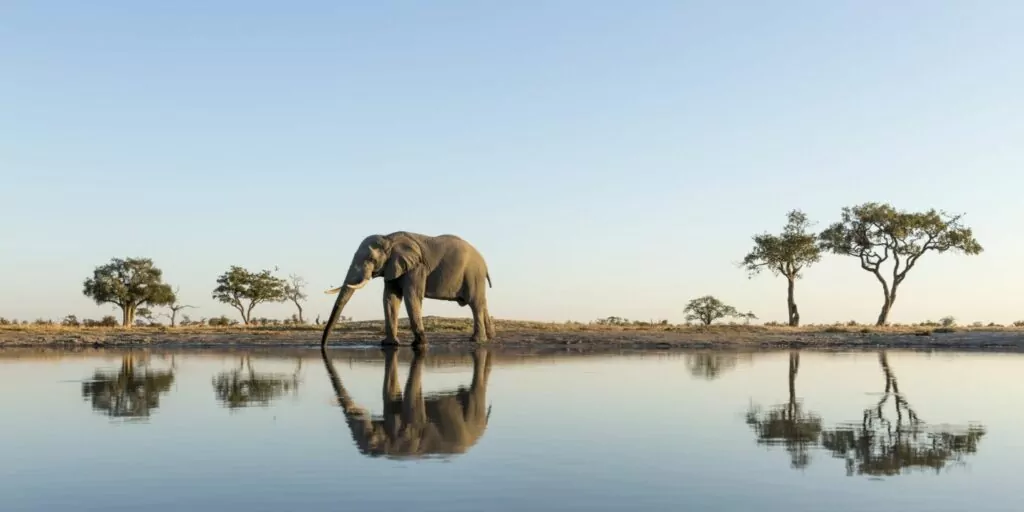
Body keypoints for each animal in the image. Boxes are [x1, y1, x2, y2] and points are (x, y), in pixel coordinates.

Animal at [321, 232, 493, 348]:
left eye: (371, 259)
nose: (323, 346)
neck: (389, 239)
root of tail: (485, 263)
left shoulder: (416, 267)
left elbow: (412, 296)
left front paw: (420, 344)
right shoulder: (392, 268)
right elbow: (390, 298)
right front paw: (389, 344)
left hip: (473, 273)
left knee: (475, 303)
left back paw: (477, 340)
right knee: (482, 303)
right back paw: (491, 337)